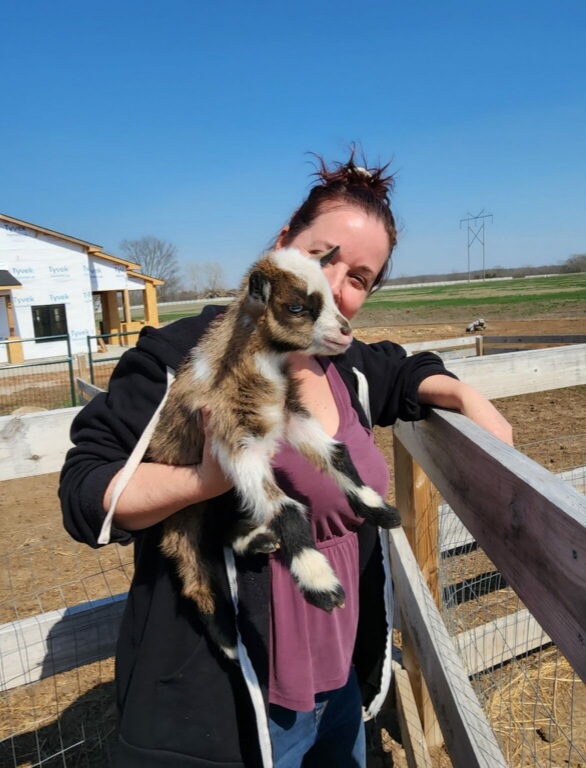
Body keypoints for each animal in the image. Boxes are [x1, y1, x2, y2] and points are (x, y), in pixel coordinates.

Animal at [148, 249, 400, 656]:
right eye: (296, 307)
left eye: (333, 296)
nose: (345, 332)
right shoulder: (236, 438)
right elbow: (288, 508)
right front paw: (321, 584)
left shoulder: (288, 414)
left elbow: (338, 454)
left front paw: (378, 508)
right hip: (183, 518)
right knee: (192, 569)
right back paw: (226, 639)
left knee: (222, 532)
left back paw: (258, 539)